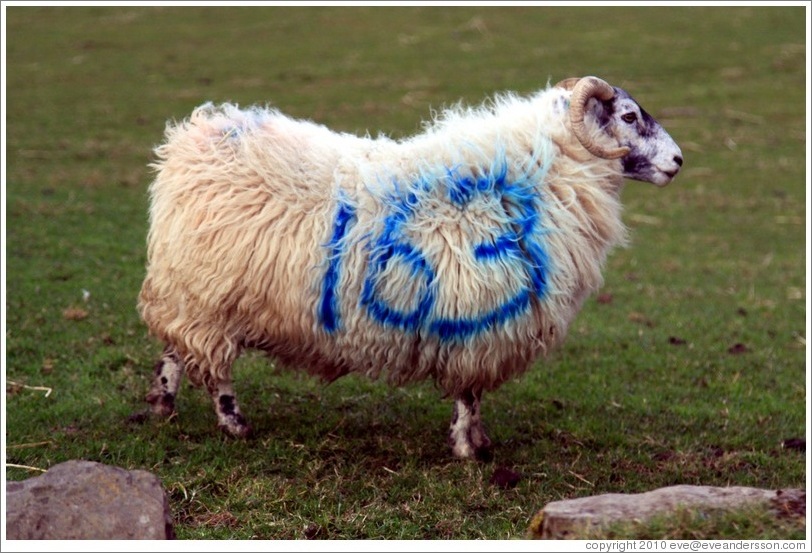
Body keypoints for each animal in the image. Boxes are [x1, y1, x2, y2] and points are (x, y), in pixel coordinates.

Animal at [136, 75, 680, 460]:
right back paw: (234, 425)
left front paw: (478, 442)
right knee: (213, 369)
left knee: (175, 350)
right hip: (207, 296)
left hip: (191, 291)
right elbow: (469, 393)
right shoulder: (475, 321)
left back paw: (163, 406)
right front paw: (468, 449)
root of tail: (193, 138)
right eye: (629, 116)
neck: (545, 175)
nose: (677, 160)